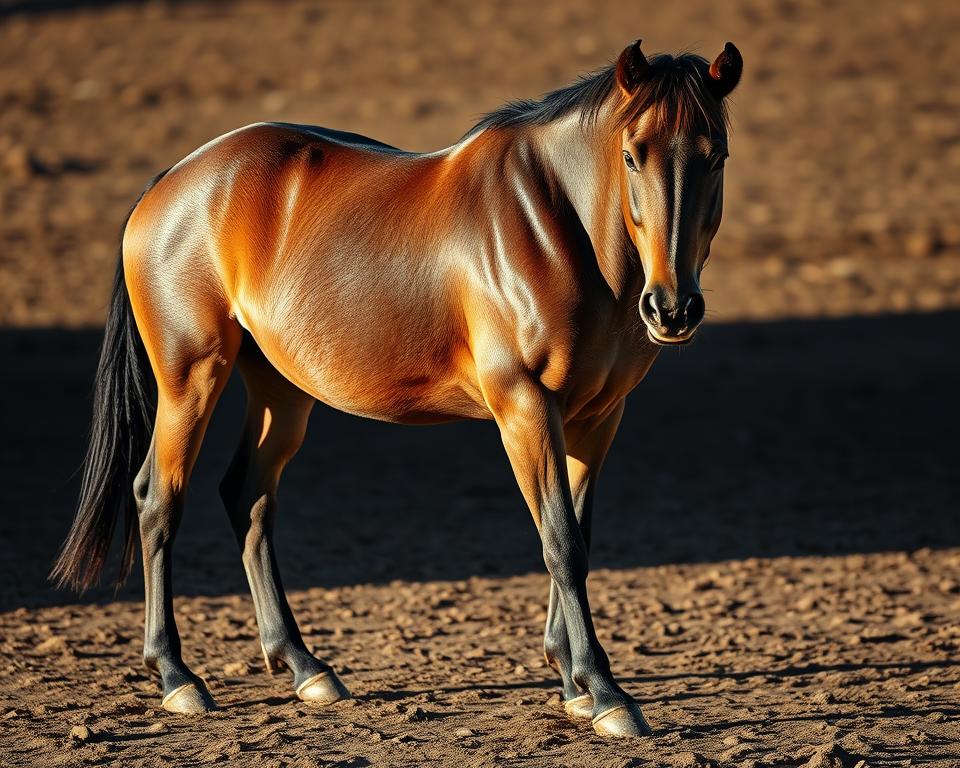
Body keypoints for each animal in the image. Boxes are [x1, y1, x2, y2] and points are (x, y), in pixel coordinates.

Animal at [51, 39, 742, 737]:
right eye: (632, 154)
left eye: (717, 155)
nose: (673, 309)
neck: (556, 227)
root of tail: (171, 182)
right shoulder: (525, 405)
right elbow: (561, 542)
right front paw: (605, 692)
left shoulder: (598, 417)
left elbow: (578, 535)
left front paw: (572, 680)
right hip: (190, 378)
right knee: (157, 499)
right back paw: (176, 676)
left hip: (281, 388)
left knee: (246, 495)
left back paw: (305, 667)